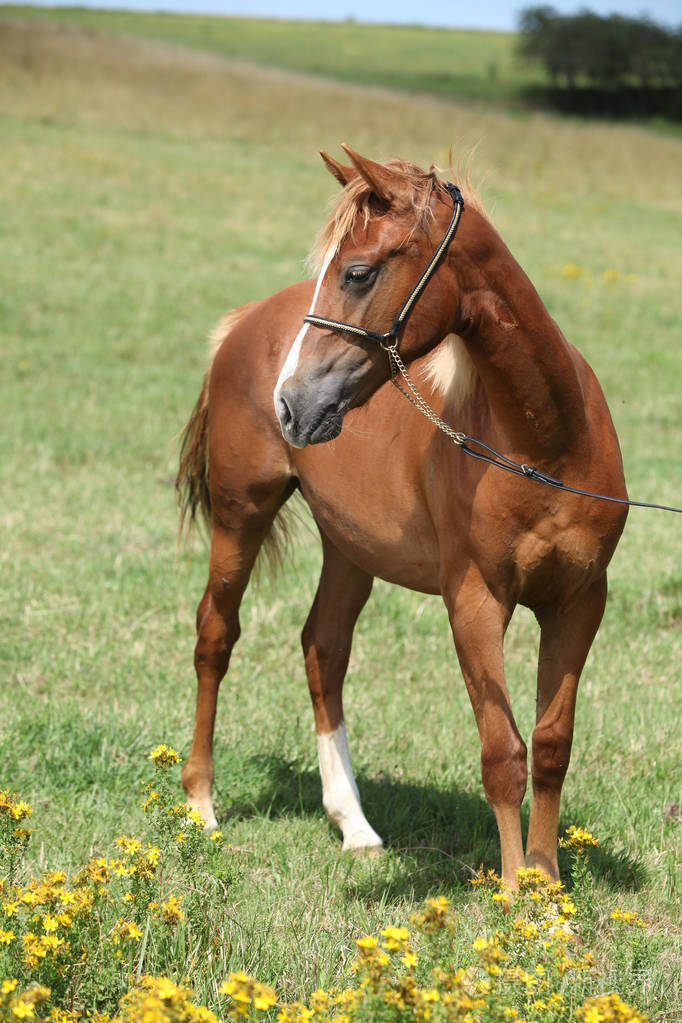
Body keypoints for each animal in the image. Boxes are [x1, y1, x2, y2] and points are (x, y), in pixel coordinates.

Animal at [176, 146, 628, 887]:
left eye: (357, 272)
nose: (292, 402)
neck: (545, 447)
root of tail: (246, 320)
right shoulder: (475, 602)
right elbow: (502, 754)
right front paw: (514, 892)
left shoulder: (580, 600)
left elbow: (552, 744)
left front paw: (548, 886)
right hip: (242, 513)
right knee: (216, 634)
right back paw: (202, 807)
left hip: (349, 546)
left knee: (323, 648)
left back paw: (354, 825)